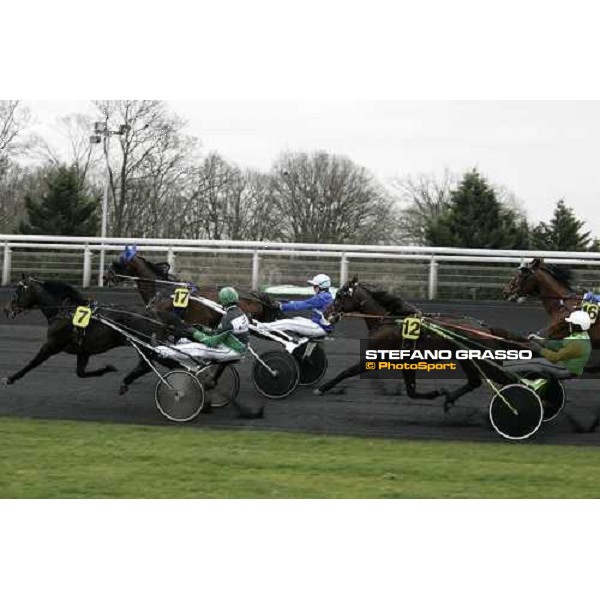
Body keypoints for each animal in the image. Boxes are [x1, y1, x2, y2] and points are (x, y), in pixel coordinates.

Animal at [318, 276, 520, 408]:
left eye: (340, 295)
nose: (327, 313)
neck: (389, 320)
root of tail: (486, 328)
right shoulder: (406, 362)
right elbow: (411, 391)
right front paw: (438, 393)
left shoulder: (375, 358)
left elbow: (346, 371)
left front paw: (322, 388)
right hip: (469, 361)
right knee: (475, 382)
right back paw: (449, 399)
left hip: (484, 363)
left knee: (509, 379)